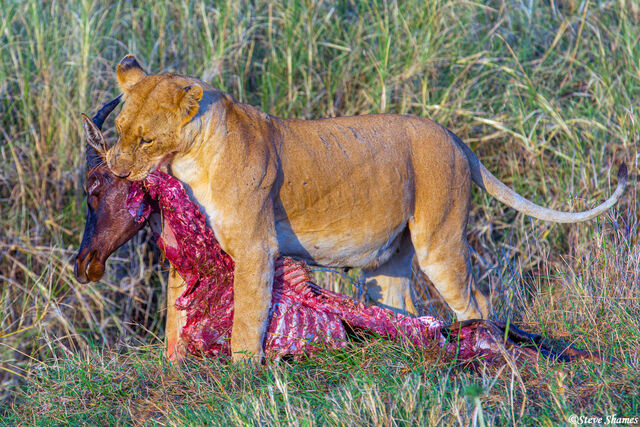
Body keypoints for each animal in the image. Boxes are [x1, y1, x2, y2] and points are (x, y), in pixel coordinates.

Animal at [102, 55, 627, 362]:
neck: (189, 161)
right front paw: (172, 367)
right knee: (405, 308)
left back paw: (483, 352)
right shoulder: (186, 253)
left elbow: (247, 318)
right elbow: (174, 316)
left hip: (439, 238)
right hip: (389, 261)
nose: (116, 168)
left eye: (145, 139)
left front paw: (242, 374)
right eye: (118, 130)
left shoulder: (255, 249)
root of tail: (454, 138)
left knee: (476, 302)